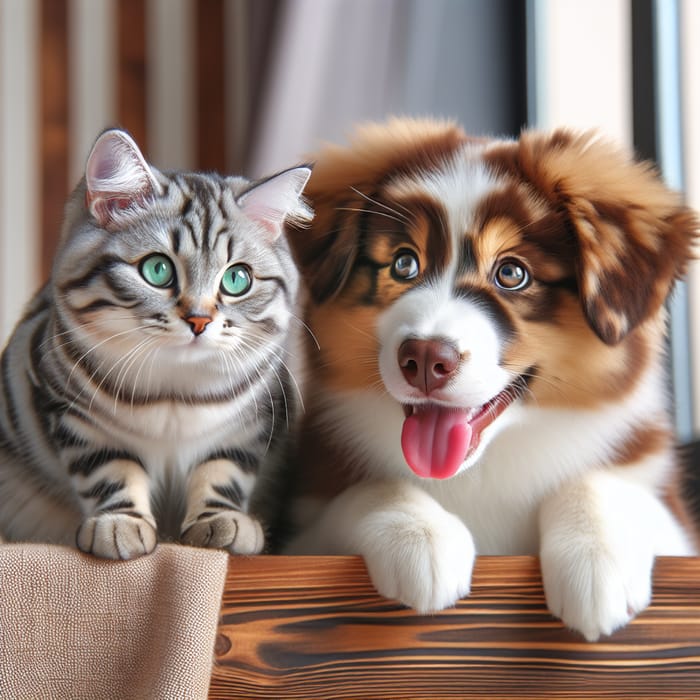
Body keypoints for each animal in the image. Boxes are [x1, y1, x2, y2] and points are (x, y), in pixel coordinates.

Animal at [0, 129, 312, 560]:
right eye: (158, 269)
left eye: (237, 279)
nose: (199, 320)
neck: (174, 395)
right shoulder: (72, 412)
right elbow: (111, 471)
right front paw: (120, 525)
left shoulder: (250, 423)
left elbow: (223, 472)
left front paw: (224, 521)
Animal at [284, 119, 700, 640]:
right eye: (404, 264)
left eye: (512, 274)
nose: (425, 358)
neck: (482, 470)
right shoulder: (302, 530)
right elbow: (368, 488)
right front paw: (422, 534)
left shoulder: (676, 528)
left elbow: (601, 482)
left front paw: (598, 555)